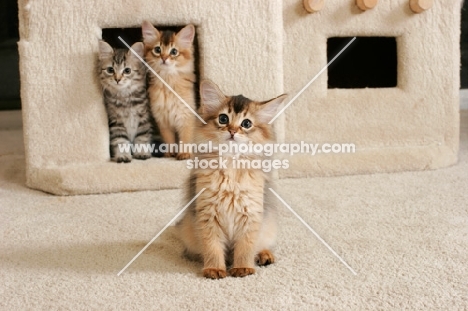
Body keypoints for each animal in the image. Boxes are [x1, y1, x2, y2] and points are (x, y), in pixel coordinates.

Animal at [141, 21, 196, 161]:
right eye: (157, 50)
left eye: (174, 51)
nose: (164, 58)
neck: (167, 82)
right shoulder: (162, 120)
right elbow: (169, 139)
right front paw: (170, 153)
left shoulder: (186, 116)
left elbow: (185, 138)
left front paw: (184, 154)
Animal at [177, 80, 288, 280]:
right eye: (223, 119)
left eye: (246, 123)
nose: (233, 130)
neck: (230, 165)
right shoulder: (207, 215)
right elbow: (212, 248)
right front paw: (214, 269)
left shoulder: (250, 215)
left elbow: (245, 248)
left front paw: (243, 268)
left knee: (262, 245)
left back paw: (265, 255)